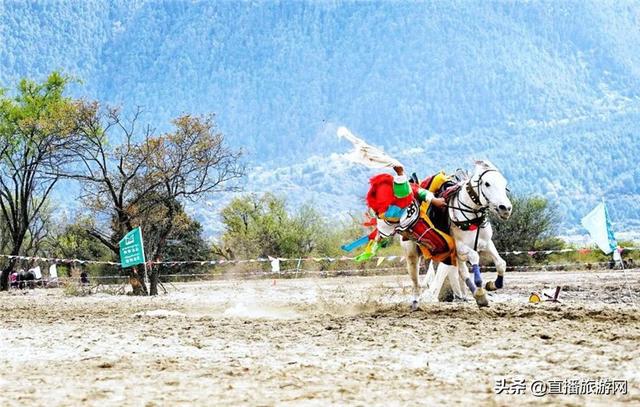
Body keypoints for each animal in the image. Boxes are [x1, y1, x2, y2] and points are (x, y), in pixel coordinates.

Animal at [402, 161, 512, 308]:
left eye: (504, 184)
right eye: (487, 183)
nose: (505, 208)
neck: (472, 217)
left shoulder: (486, 243)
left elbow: (501, 264)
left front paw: (492, 285)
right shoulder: (459, 249)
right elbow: (474, 256)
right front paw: (480, 289)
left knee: (460, 272)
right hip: (412, 252)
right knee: (415, 276)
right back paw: (416, 300)